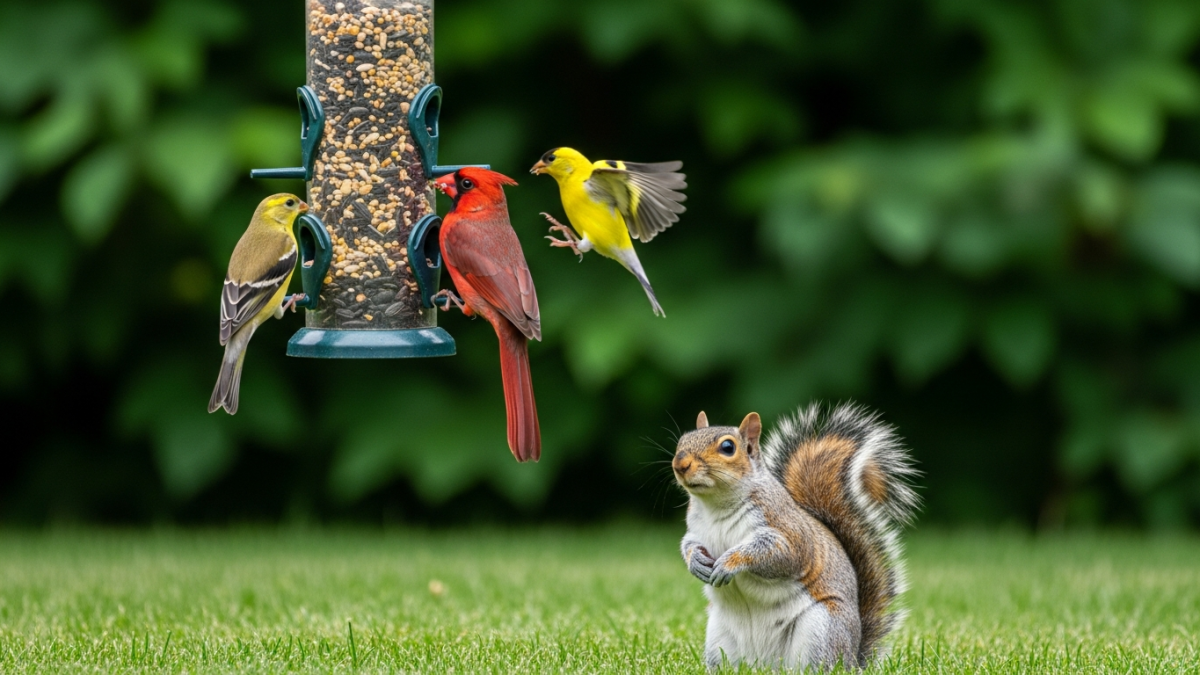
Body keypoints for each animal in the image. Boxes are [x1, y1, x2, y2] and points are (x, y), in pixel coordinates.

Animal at [673, 403, 918, 671]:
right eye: (682, 440)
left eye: (728, 447)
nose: (680, 464)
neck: (716, 505)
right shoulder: (696, 530)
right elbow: (688, 544)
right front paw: (696, 562)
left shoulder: (787, 530)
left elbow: (779, 554)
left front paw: (729, 562)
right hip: (719, 640)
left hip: (820, 631)